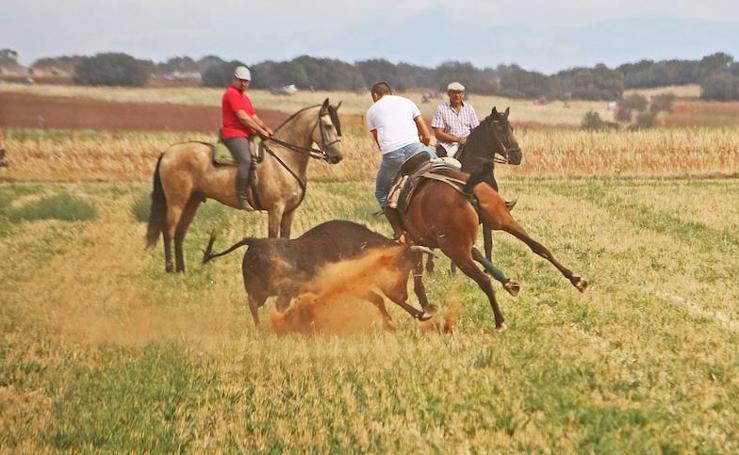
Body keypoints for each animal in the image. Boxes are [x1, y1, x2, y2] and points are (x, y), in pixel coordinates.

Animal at [146, 98, 346, 272]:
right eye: (328, 125)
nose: (337, 156)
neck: (284, 156)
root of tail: (168, 152)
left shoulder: (289, 212)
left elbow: (285, 238)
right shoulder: (276, 209)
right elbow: (273, 238)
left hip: (192, 200)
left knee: (180, 231)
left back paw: (181, 269)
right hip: (176, 201)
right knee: (169, 230)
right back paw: (170, 268)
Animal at [394, 107, 588, 332]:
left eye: (511, 127)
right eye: (499, 129)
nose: (517, 156)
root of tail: (468, 188)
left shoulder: (483, 226)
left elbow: (487, 246)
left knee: (534, 247)